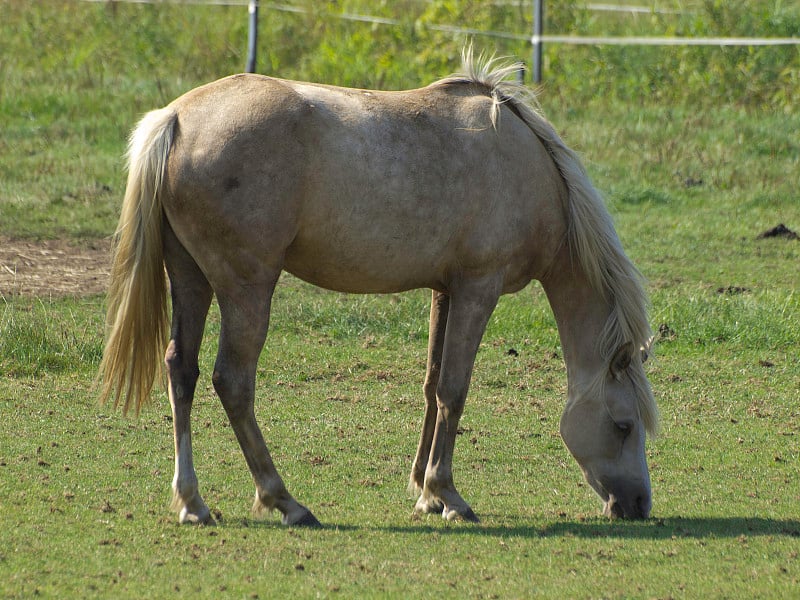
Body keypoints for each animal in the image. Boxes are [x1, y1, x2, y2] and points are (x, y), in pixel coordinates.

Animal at [98, 54, 656, 528]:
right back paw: (284, 500)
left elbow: (432, 385)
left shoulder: (445, 290)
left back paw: (193, 503)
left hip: (189, 277)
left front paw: (425, 493)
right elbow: (455, 389)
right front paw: (448, 495)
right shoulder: (480, 287)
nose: (638, 505)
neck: (524, 166)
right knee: (232, 382)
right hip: (246, 287)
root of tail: (176, 117)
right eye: (624, 425)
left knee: (182, 371)